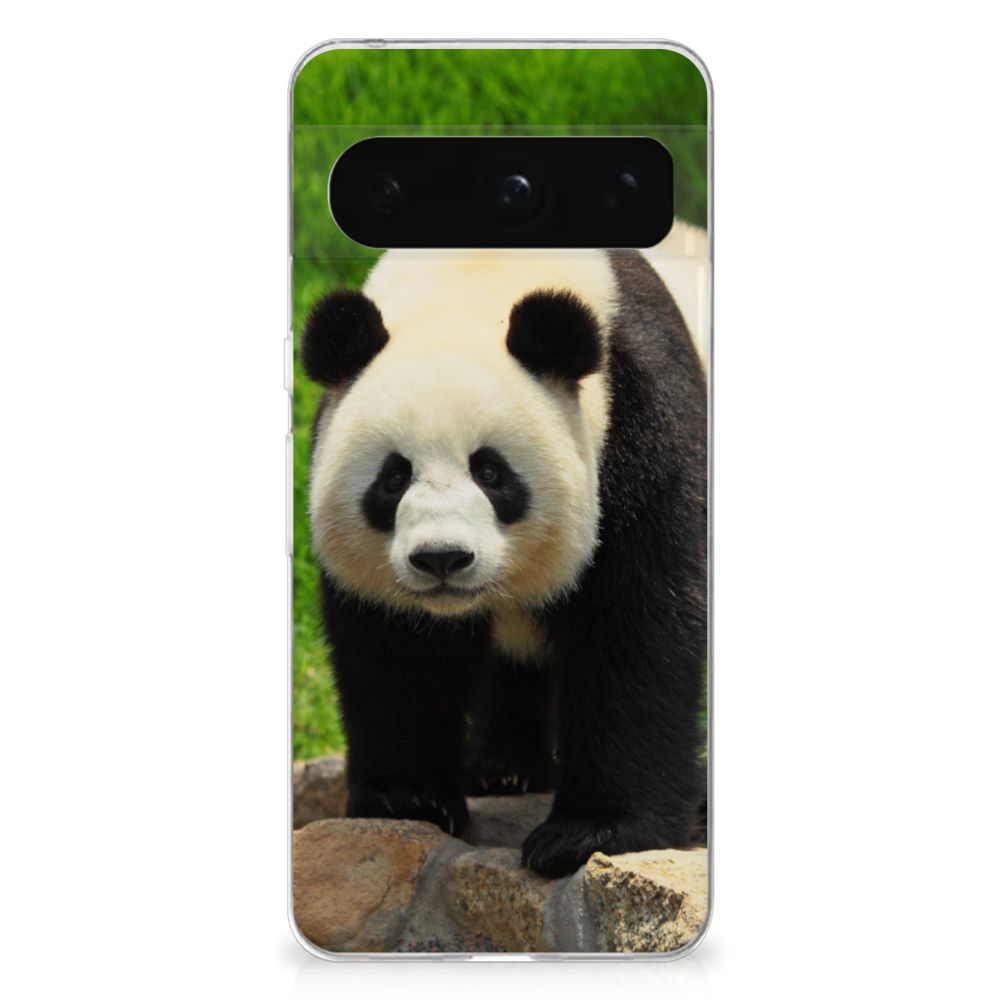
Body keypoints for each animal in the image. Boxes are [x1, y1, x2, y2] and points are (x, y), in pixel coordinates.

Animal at [302, 226, 708, 878]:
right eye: (393, 477)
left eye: (490, 471)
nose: (442, 559)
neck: (475, 273)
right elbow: (397, 649)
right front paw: (408, 799)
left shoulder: (641, 417)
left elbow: (637, 624)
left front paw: (590, 832)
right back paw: (504, 769)